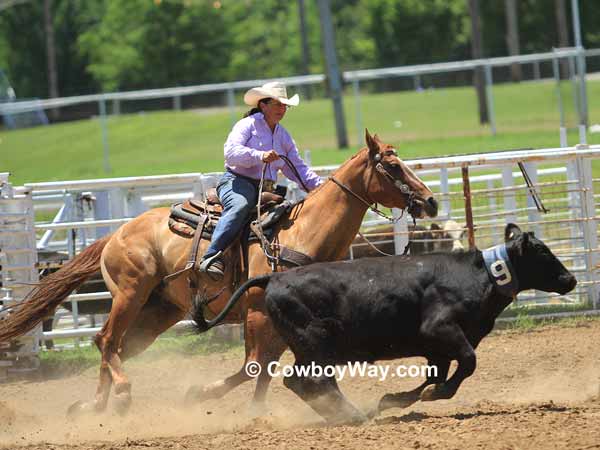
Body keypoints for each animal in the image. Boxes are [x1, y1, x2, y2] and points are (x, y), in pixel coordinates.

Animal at [0, 130, 436, 414]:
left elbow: (273, 366)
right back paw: (120, 394)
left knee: (115, 346)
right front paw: (219, 399)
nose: (430, 201)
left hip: (158, 312)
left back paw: (96, 406)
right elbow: (255, 366)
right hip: (129, 294)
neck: (302, 233)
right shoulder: (258, 313)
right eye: (393, 166)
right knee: (106, 339)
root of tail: (115, 235)